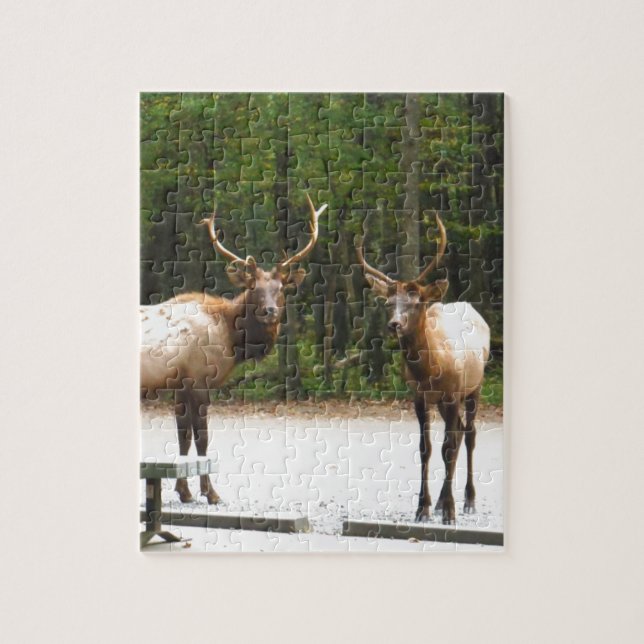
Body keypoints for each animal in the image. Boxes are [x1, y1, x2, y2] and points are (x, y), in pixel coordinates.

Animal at [141, 193, 327, 504]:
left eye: (281, 288)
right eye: (253, 288)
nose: (269, 311)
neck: (230, 335)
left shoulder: (180, 383)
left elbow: (183, 437)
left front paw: (185, 492)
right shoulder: (199, 378)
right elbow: (202, 439)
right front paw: (211, 493)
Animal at [357, 215, 490, 524]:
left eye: (416, 301)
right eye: (389, 301)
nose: (394, 324)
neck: (431, 369)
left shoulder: (453, 394)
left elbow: (448, 447)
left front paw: (450, 512)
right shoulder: (419, 397)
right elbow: (426, 448)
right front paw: (424, 508)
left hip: (475, 387)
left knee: (469, 434)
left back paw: (468, 500)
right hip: (444, 401)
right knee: (459, 433)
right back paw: (443, 501)